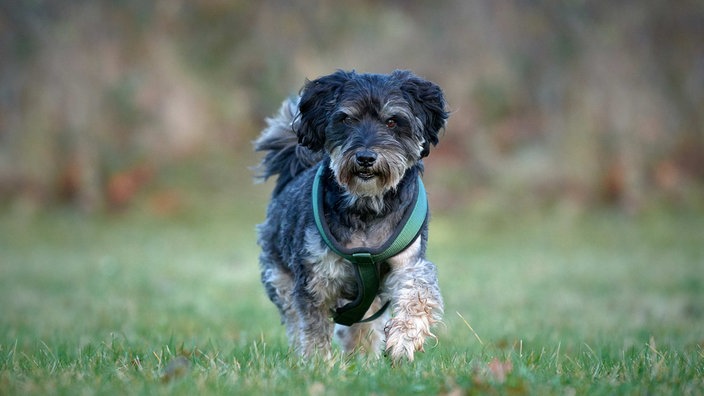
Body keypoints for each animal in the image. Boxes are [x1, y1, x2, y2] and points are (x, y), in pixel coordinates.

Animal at [256, 69, 448, 362]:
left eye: (392, 121)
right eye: (346, 119)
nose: (366, 157)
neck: (365, 207)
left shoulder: (409, 262)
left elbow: (418, 294)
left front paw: (403, 340)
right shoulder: (315, 276)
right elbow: (312, 328)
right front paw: (316, 364)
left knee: (363, 328)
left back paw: (363, 359)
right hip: (279, 277)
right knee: (294, 318)